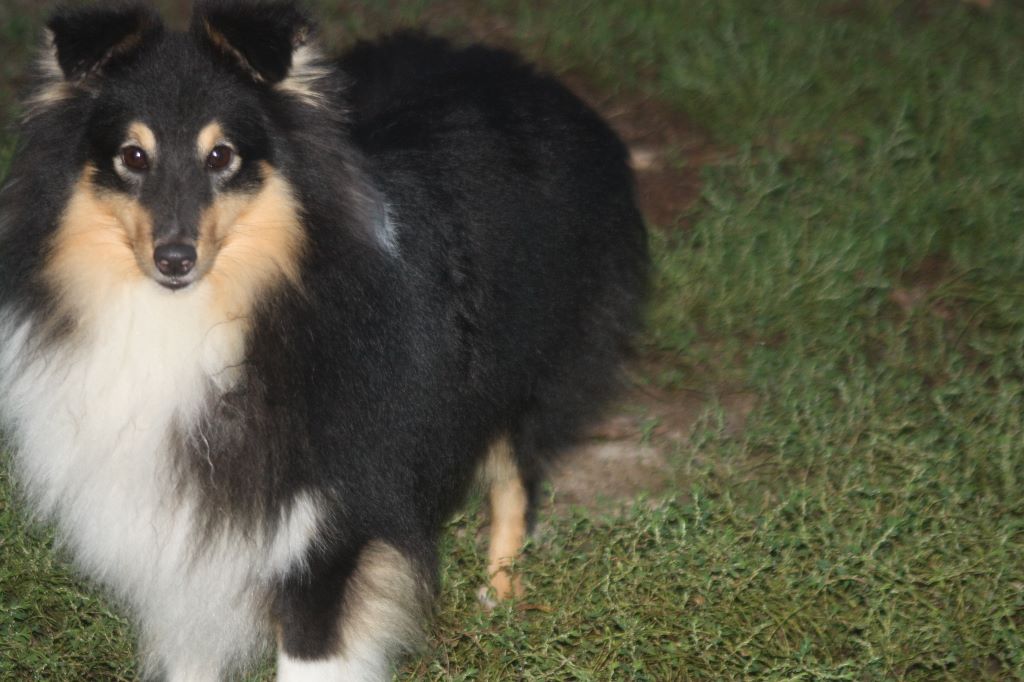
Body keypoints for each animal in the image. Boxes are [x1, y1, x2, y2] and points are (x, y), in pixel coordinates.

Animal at [0, 2, 647, 675]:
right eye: (132, 156)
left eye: (221, 156)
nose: (174, 259)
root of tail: (537, 81)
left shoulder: (334, 525)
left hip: (522, 368)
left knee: (516, 481)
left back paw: (500, 601)